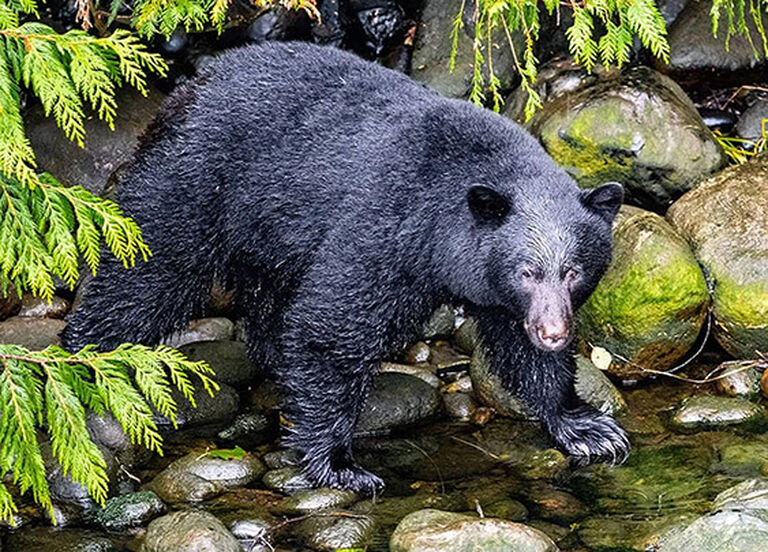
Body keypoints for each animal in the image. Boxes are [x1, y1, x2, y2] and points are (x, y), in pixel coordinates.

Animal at [61, 41, 630, 494]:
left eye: (574, 271)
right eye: (527, 271)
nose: (555, 332)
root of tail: (187, 89)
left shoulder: (500, 297)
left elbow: (519, 348)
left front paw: (585, 426)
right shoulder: (387, 229)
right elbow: (333, 325)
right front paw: (339, 463)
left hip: (268, 231)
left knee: (267, 297)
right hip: (195, 184)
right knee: (149, 275)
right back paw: (86, 358)